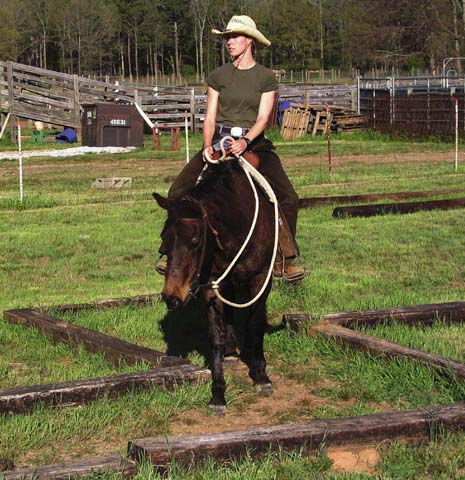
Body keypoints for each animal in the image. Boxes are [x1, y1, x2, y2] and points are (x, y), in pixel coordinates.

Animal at [152, 160, 276, 412]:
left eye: (195, 242)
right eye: (164, 239)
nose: (172, 296)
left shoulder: (261, 279)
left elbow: (255, 325)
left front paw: (260, 376)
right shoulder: (211, 285)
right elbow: (215, 336)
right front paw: (218, 393)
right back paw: (231, 352)